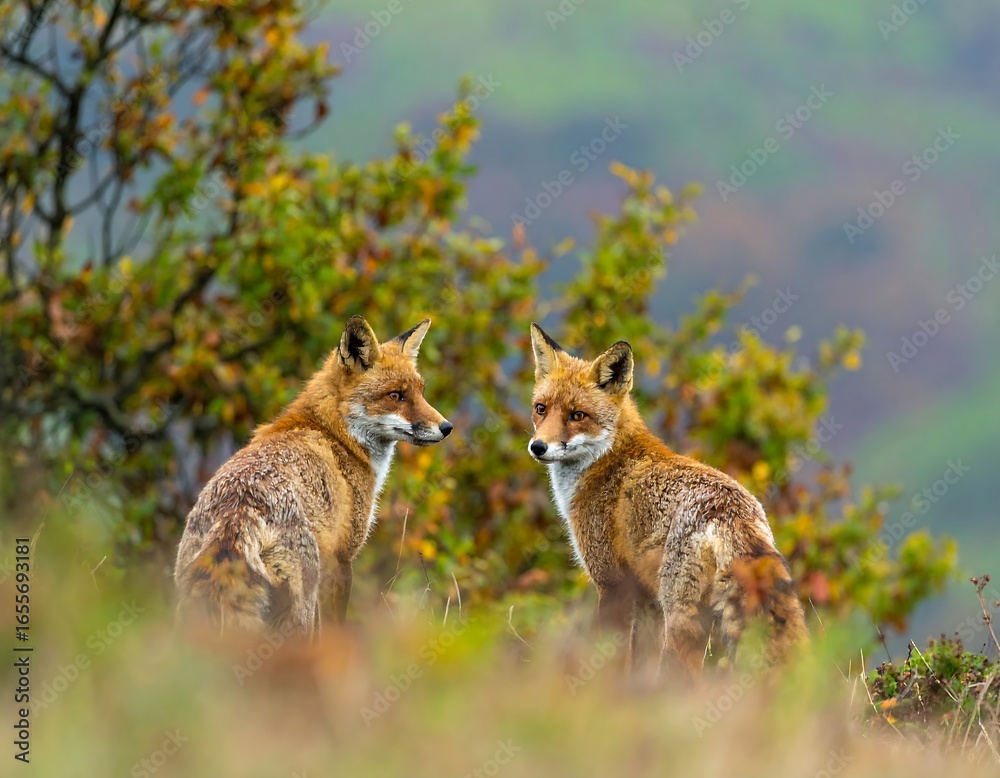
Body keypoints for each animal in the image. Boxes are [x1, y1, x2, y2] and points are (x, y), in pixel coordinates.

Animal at [174, 315, 452, 637]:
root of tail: (236, 512)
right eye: (396, 396)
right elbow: (333, 633)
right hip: (301, 607)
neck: (337, 434)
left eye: (420, 392)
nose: (447, 427)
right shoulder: (340, 562)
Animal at [527, 322, 808, 678]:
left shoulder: (612, 583)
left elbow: (611, 661)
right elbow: (638, 665)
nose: (538, 447)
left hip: (680, 616)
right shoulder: (646, 598)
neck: (605, 459)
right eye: (541, 409)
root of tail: (729, 511)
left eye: (578, 415)